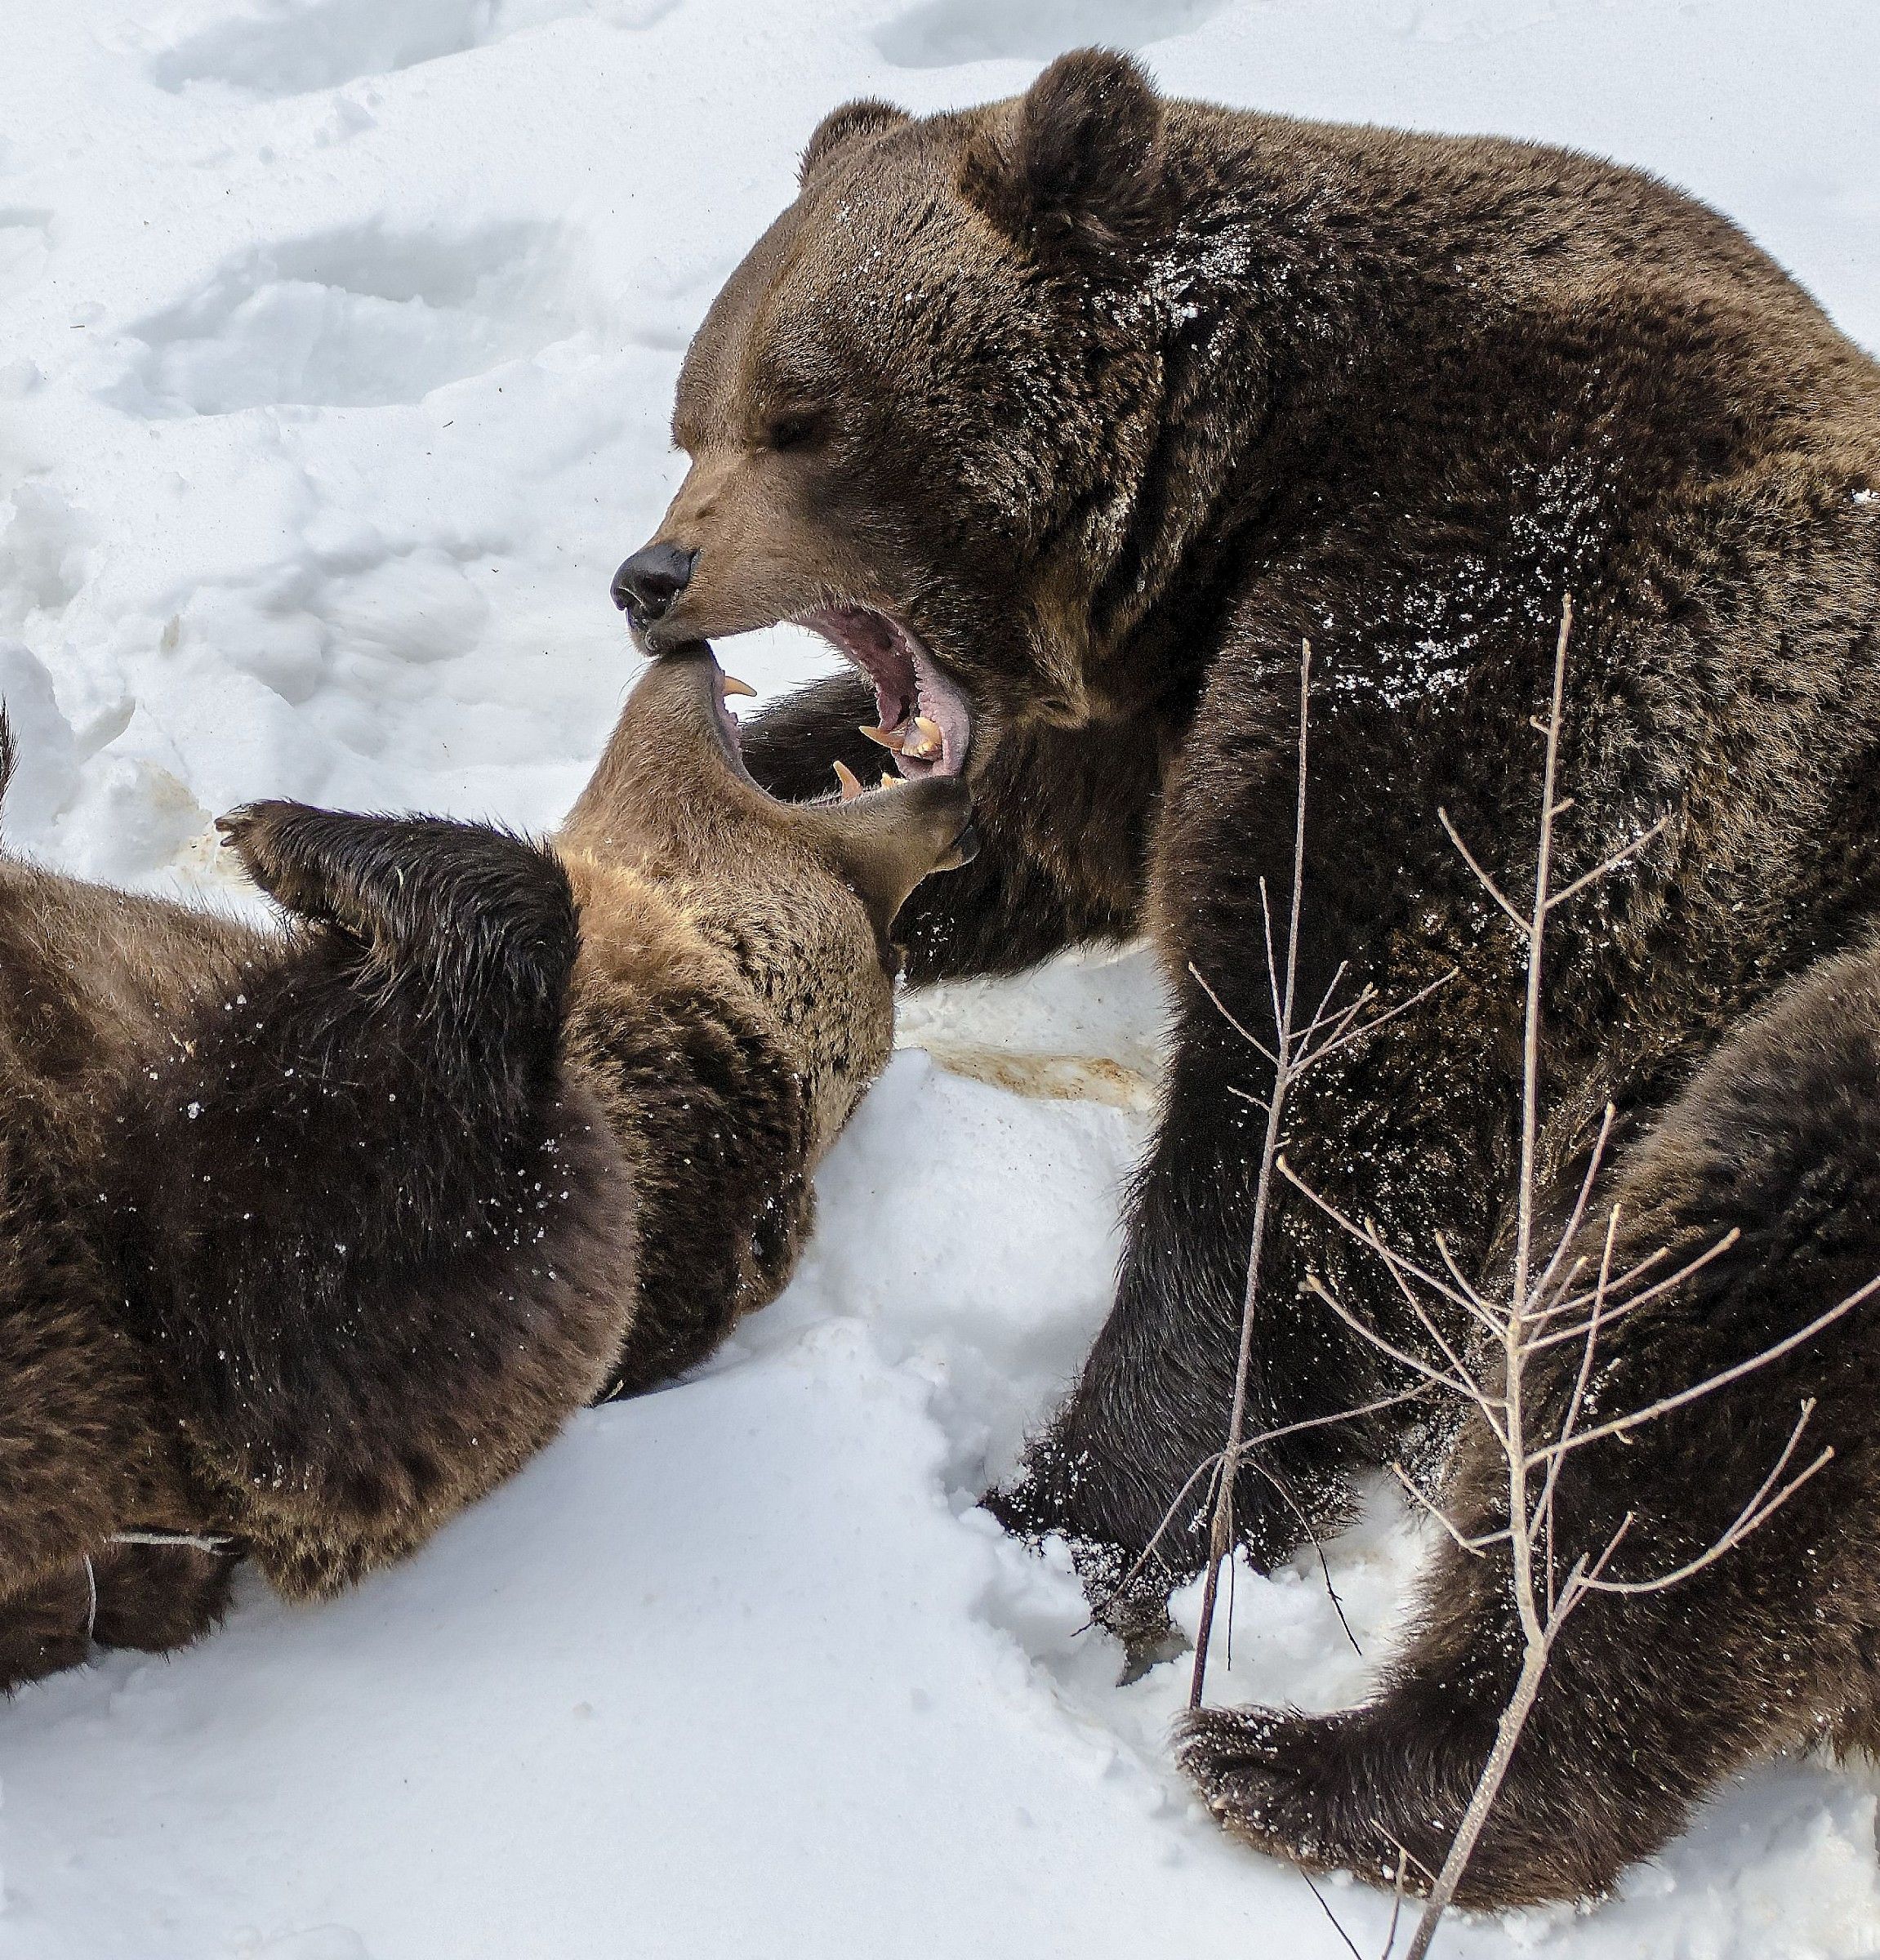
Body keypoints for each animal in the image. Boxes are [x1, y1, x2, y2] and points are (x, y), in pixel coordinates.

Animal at [607, 50, 1880, 1902]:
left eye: (801, 413)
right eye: (694, 410)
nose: (650, 577)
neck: (1231, 495)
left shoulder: (1516, 631)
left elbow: (1330, 1124)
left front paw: (1073, 1518)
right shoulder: (1129, 727)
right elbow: (941, 822)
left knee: (1725, 1326)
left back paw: (1335, 1761)